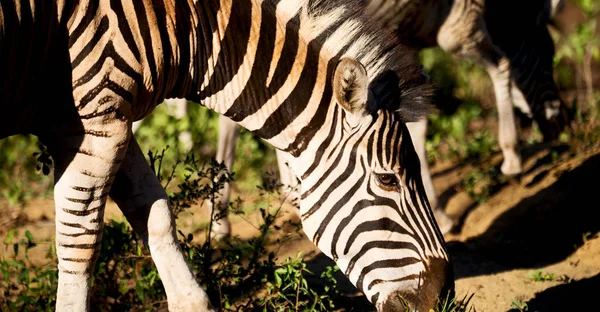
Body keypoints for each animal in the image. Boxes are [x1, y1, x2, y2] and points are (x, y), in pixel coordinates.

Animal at [0, 0, 450, 310]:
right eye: (388, 180)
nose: (442, 297)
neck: (177, 25)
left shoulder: (112, 117)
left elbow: (156, 214)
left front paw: (192, 302)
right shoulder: (88, 121)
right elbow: (80, 242)